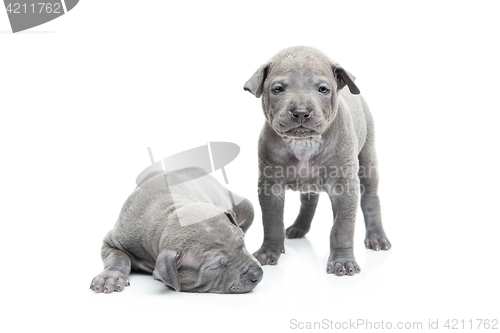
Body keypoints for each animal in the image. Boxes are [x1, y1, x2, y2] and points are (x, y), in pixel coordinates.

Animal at [90, 167, 264, 292]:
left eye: (242, 243)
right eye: (217, 267)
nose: (258, 274)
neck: (170, 213)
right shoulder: (115, 239)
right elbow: (118, 256)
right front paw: (110, 277)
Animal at [244, 46, 392, 274]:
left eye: (323, 89)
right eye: (277, 89)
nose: (301, 112)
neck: (304, 144)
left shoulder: (344, 187)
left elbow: (342, 227)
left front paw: (342, 261)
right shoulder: (270, 186)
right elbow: (272, 221)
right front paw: (269, 252)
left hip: (367, 158)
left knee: (370, 199)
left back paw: (376, 237)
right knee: (309, 200)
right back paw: (299, 227)